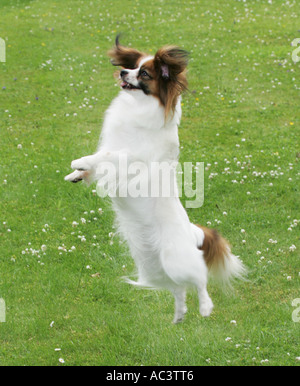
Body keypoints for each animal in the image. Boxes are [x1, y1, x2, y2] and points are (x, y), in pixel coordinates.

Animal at [64, 37, 245, 324]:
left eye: (144, 74)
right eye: (132, 66)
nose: (122, 72)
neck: (138, 108)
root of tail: (193, 232)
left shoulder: (131, 157)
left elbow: (106, 156)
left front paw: (80, 162)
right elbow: (99, 162)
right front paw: (77, 174)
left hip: (177, 261)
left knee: (200, 280)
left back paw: (205, 307)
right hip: (153, 266)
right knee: (178, 289)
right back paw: (180, 315)